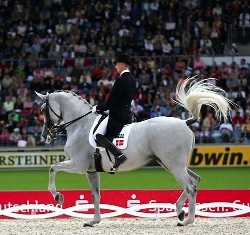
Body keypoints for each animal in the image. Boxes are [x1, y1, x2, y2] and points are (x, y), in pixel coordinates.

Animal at [35, 78, 234, 227]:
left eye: (44, 109)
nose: (45, 134)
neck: (80, 125)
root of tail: (184, 122)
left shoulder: (78, 164)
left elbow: (52, 168)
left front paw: (58, 196)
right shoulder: (91, 170)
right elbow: (95, 195)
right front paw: (94, 221)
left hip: (174, 164)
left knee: (190, 186)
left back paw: (187, 220)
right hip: (169, 163)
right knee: (195, 180)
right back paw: (179, 211)